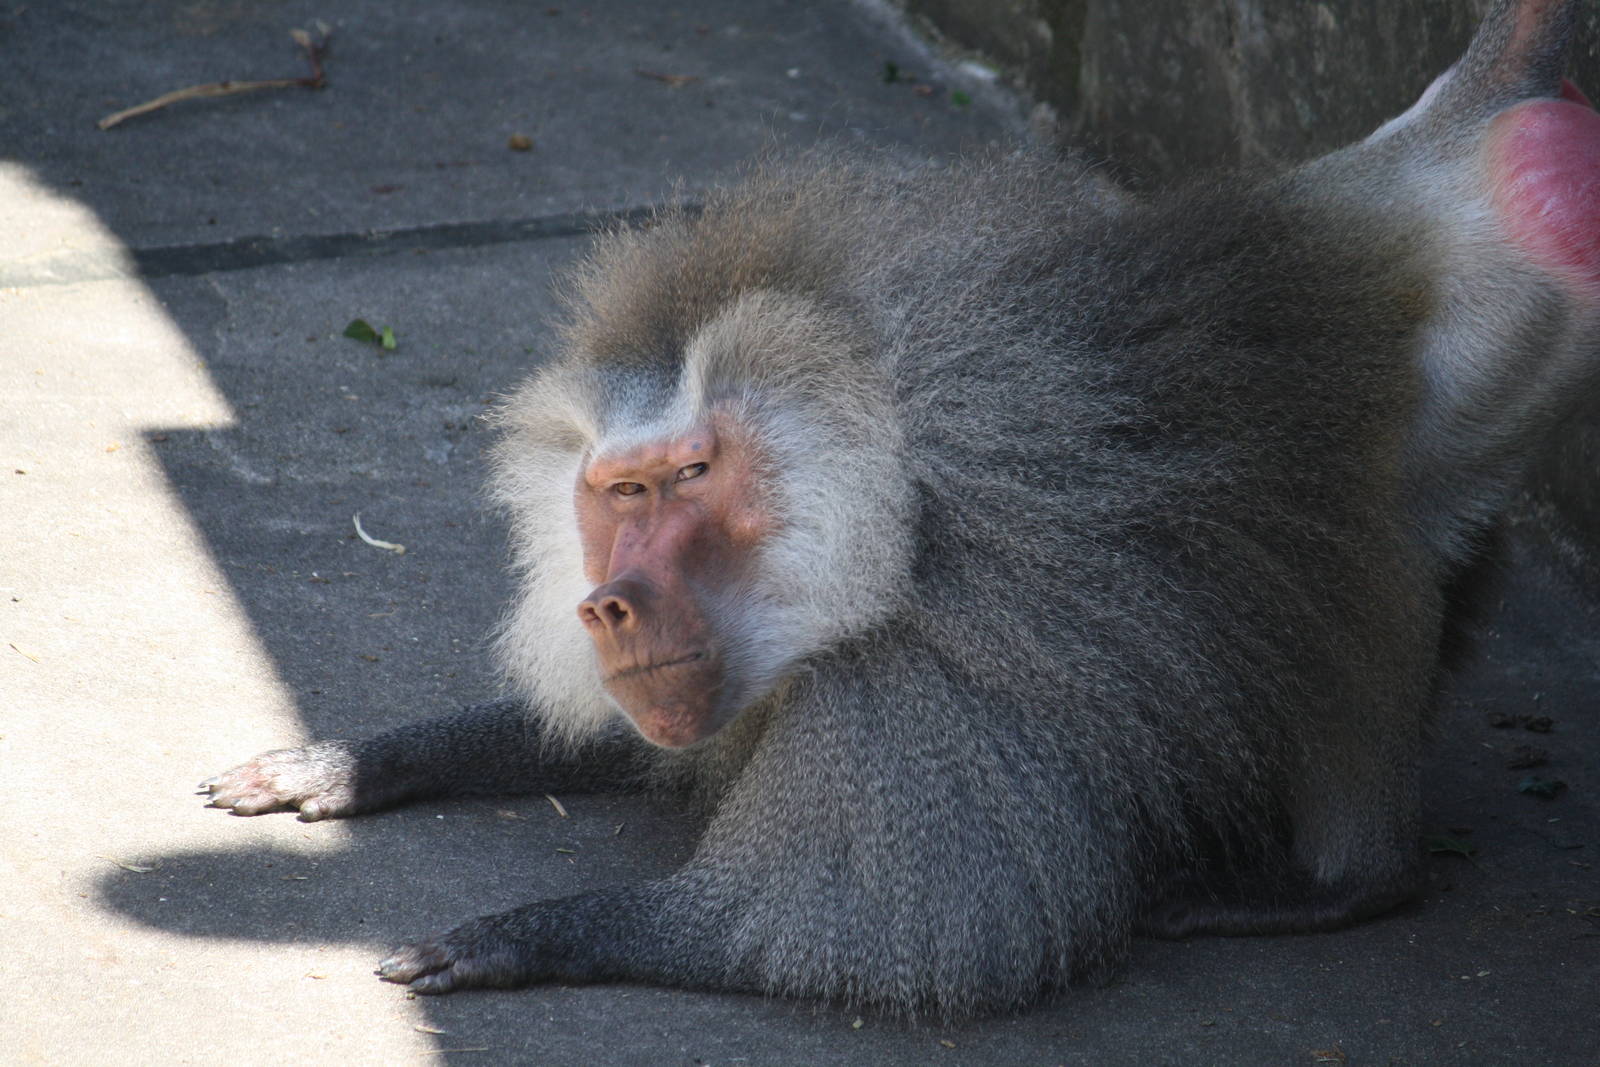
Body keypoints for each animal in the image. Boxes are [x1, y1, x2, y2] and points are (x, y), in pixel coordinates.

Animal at [201, 0, 1599, 1019]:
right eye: (616, 493)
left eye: (690, 480)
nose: (607, 603)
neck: (890, 488)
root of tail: (1416, 160)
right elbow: (635, 737)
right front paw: (349, 761)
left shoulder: (914, 692)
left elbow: (841, 933)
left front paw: (514, 938)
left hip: (1506, 329)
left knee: (1366, 579)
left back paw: (1346, 884)